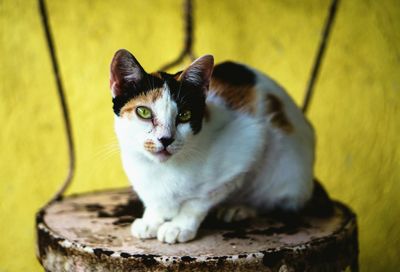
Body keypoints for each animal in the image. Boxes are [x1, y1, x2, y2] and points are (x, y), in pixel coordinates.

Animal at [109, 49, 324, 244]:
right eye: (143, 112)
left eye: (184, 115)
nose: (165, 139)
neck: (159, 169)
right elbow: (155, 202)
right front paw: (152, 219)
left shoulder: (250, 142)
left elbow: (198, 201)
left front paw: (179, 226)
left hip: (288, 172)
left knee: (271, 200)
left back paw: (240, 207)